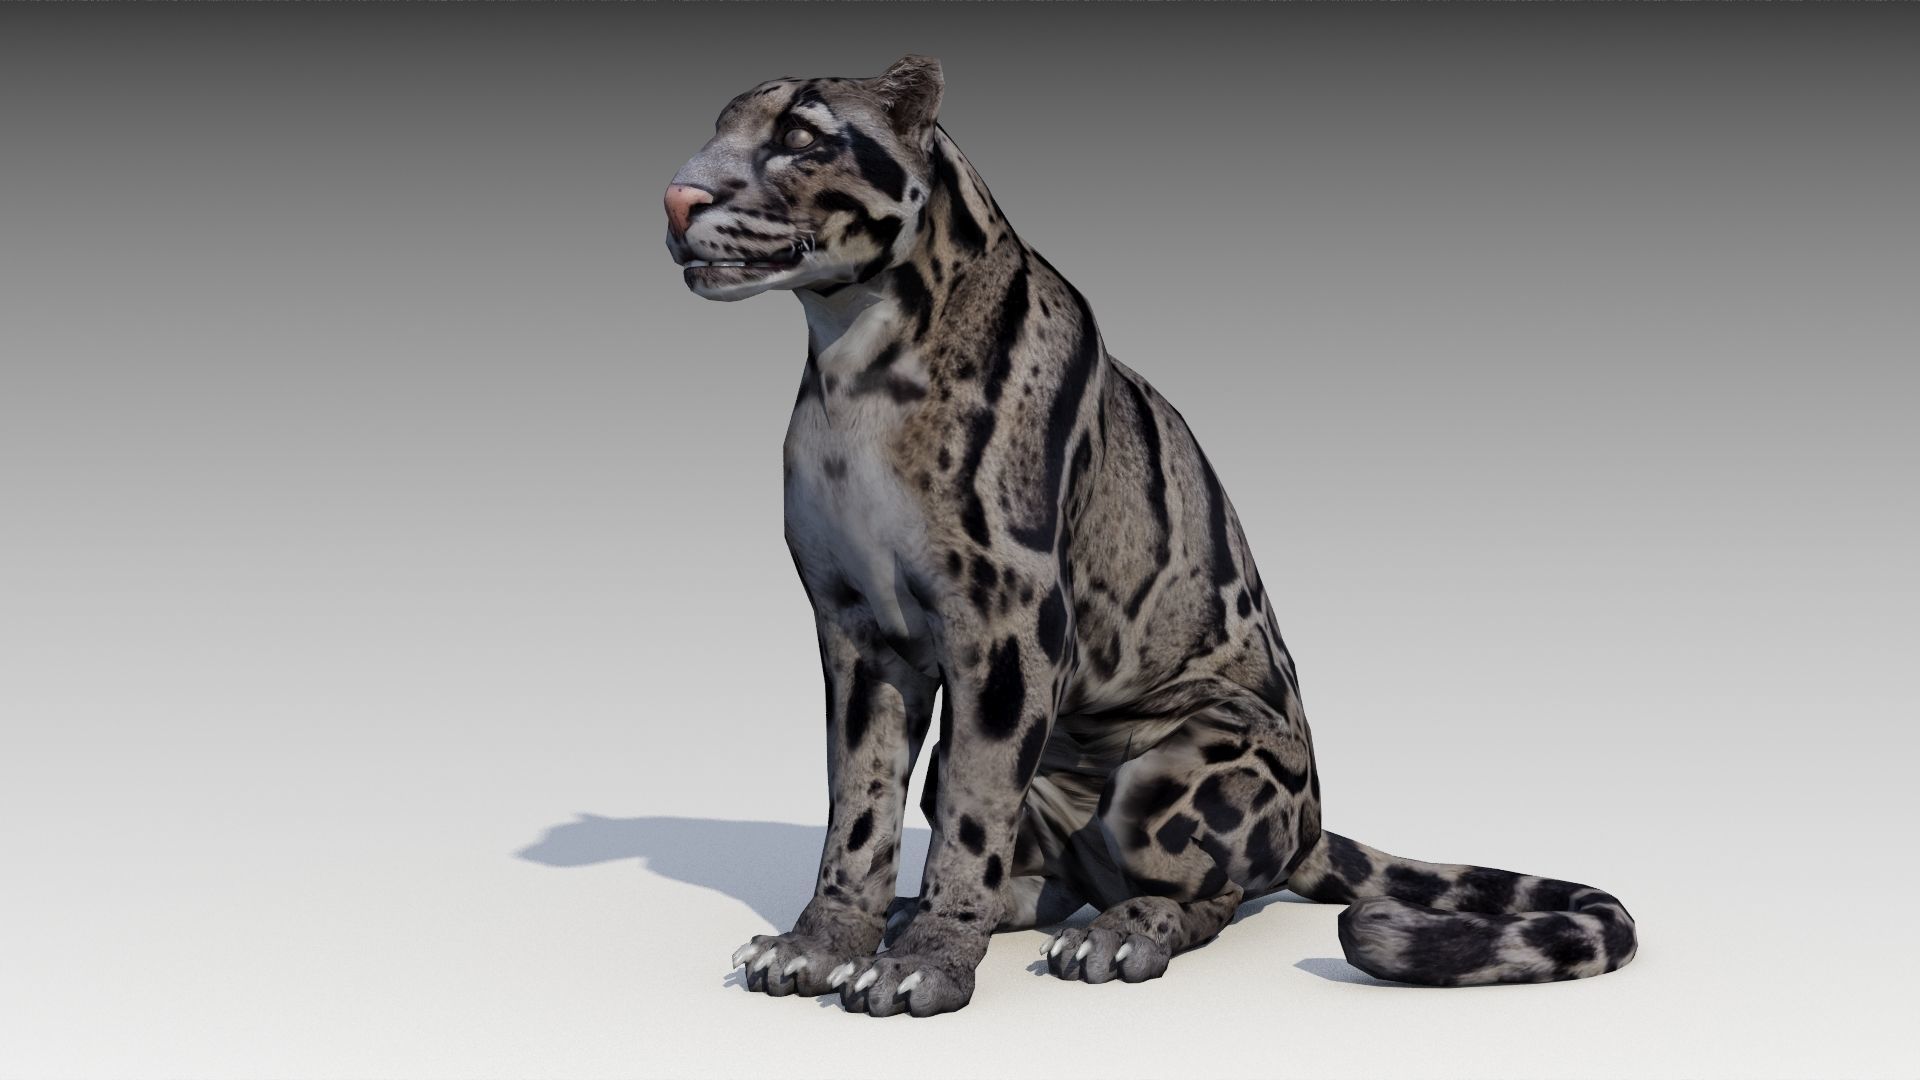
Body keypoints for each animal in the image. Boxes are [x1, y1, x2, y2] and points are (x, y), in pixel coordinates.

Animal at [663, 55, 1638, 1018]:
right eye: (720, 127)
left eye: (800, 137)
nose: (676, 198)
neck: (853, 361)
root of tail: (1315, 824)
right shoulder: (859, 627)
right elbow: (858, 805)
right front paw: (826, 943)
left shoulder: (1004, 627)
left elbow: (975, 816)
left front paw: (927, 965)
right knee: (1049, 874)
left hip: (1174, 773)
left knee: (1210, 891)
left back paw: (1118, 933)